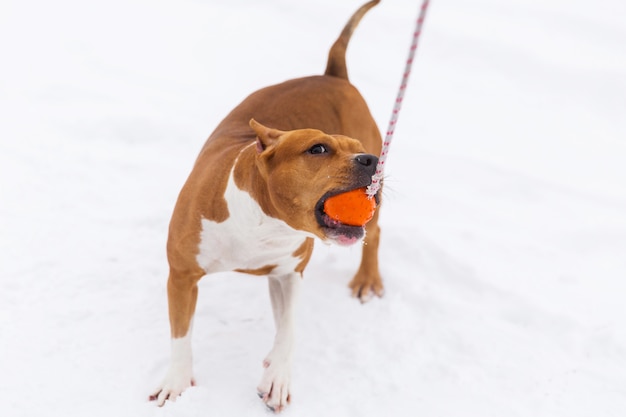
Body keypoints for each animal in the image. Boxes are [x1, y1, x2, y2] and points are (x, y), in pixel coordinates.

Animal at [151, 0, 382, 410]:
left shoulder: (289, 274)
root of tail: (333, 75)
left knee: (378, 231)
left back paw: (367, 280)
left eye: (357, 149)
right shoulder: (181, 275)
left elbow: (288, 330)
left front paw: (277, 378)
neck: (262, 224)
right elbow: (180, 335)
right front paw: (176, 385)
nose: (369, 159)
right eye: (318, 149)